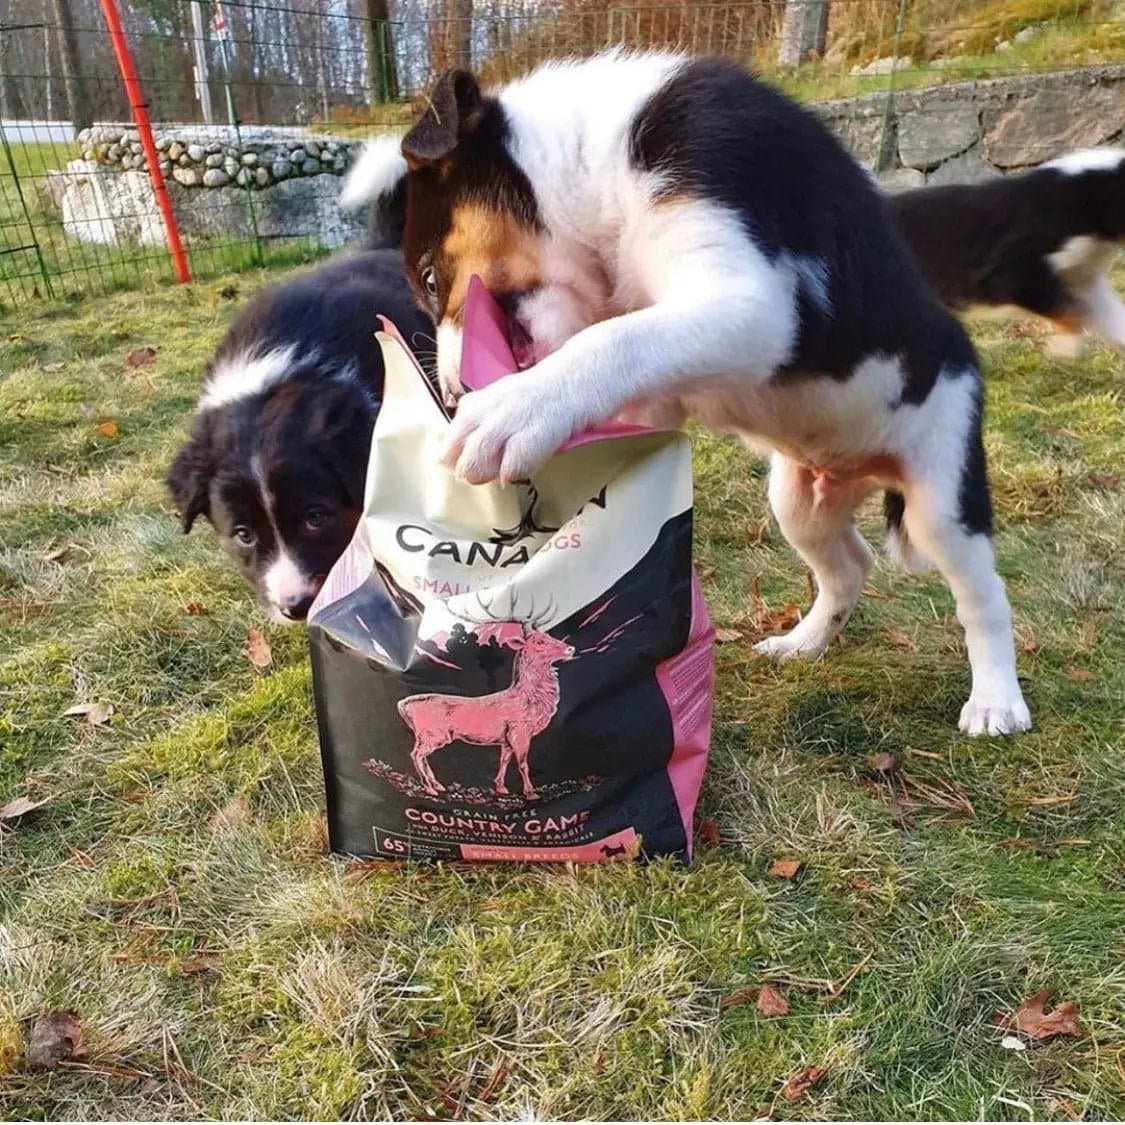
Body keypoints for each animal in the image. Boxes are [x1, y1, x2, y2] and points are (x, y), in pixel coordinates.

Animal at [346, 54, 1030, 738]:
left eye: (431, 280)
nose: (455, 393)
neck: (596, 169)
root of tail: (864, 470)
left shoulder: (752, 300)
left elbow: (616, 339)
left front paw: (515, 413)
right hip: (798, 499)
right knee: (849, 566)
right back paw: (804, 642)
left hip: (940, 491)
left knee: (983, 596)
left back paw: (996, 701)